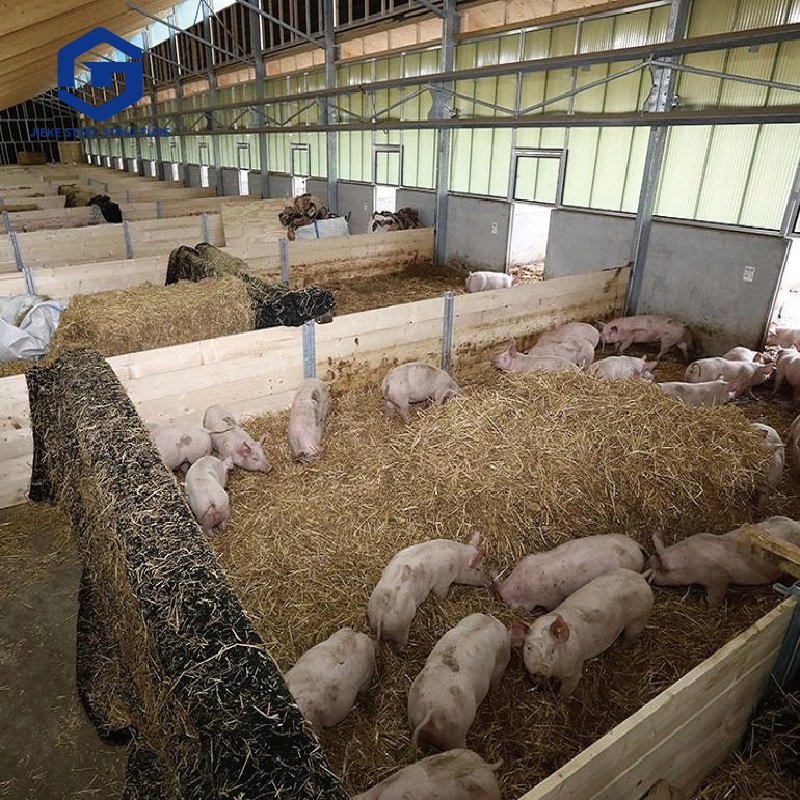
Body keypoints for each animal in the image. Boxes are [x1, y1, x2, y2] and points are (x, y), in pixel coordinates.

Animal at [408, 613, 510, 751]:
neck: (485, 622)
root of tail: (430, 710)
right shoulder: (501, 664)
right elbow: (495, 682)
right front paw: (495, 696)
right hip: (456, 734)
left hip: (413, 718)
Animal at [512, 568, 653, 698]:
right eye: (529, 647)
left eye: (552, 650)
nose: (540, 668)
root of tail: (640, 577)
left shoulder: (574, 667)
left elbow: (568, 688)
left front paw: (560, 700)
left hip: (638, 620)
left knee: (630, 638)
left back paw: (619, 646)